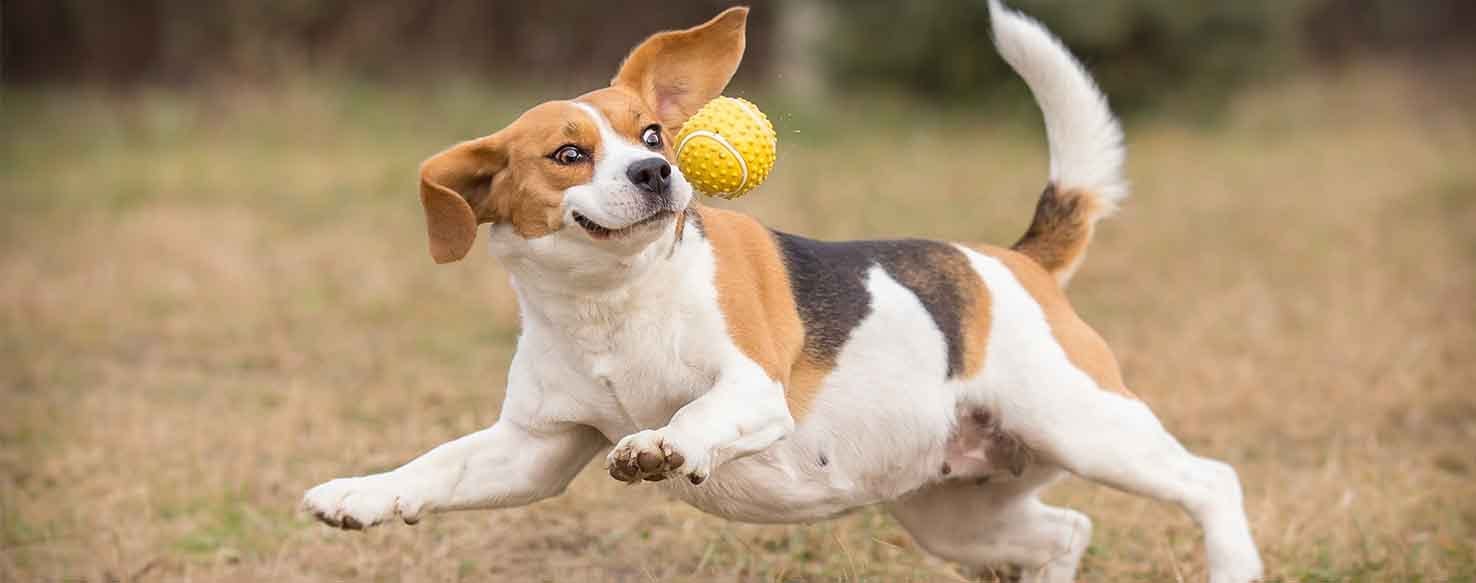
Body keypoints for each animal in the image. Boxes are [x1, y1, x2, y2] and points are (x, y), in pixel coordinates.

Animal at [302, 2, 1269, 581]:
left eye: (651, 134)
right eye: (569, 154)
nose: (657, 173)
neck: (615, 302)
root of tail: (1015, 259)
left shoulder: (753, 390)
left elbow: (693, 416)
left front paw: (660, 444)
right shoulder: (533, 446)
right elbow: (437, 466)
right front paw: (361, 494)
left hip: (1089, 424)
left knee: (1211, 480)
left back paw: (1233, 561)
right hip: (955, 510)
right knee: (1066, 532)